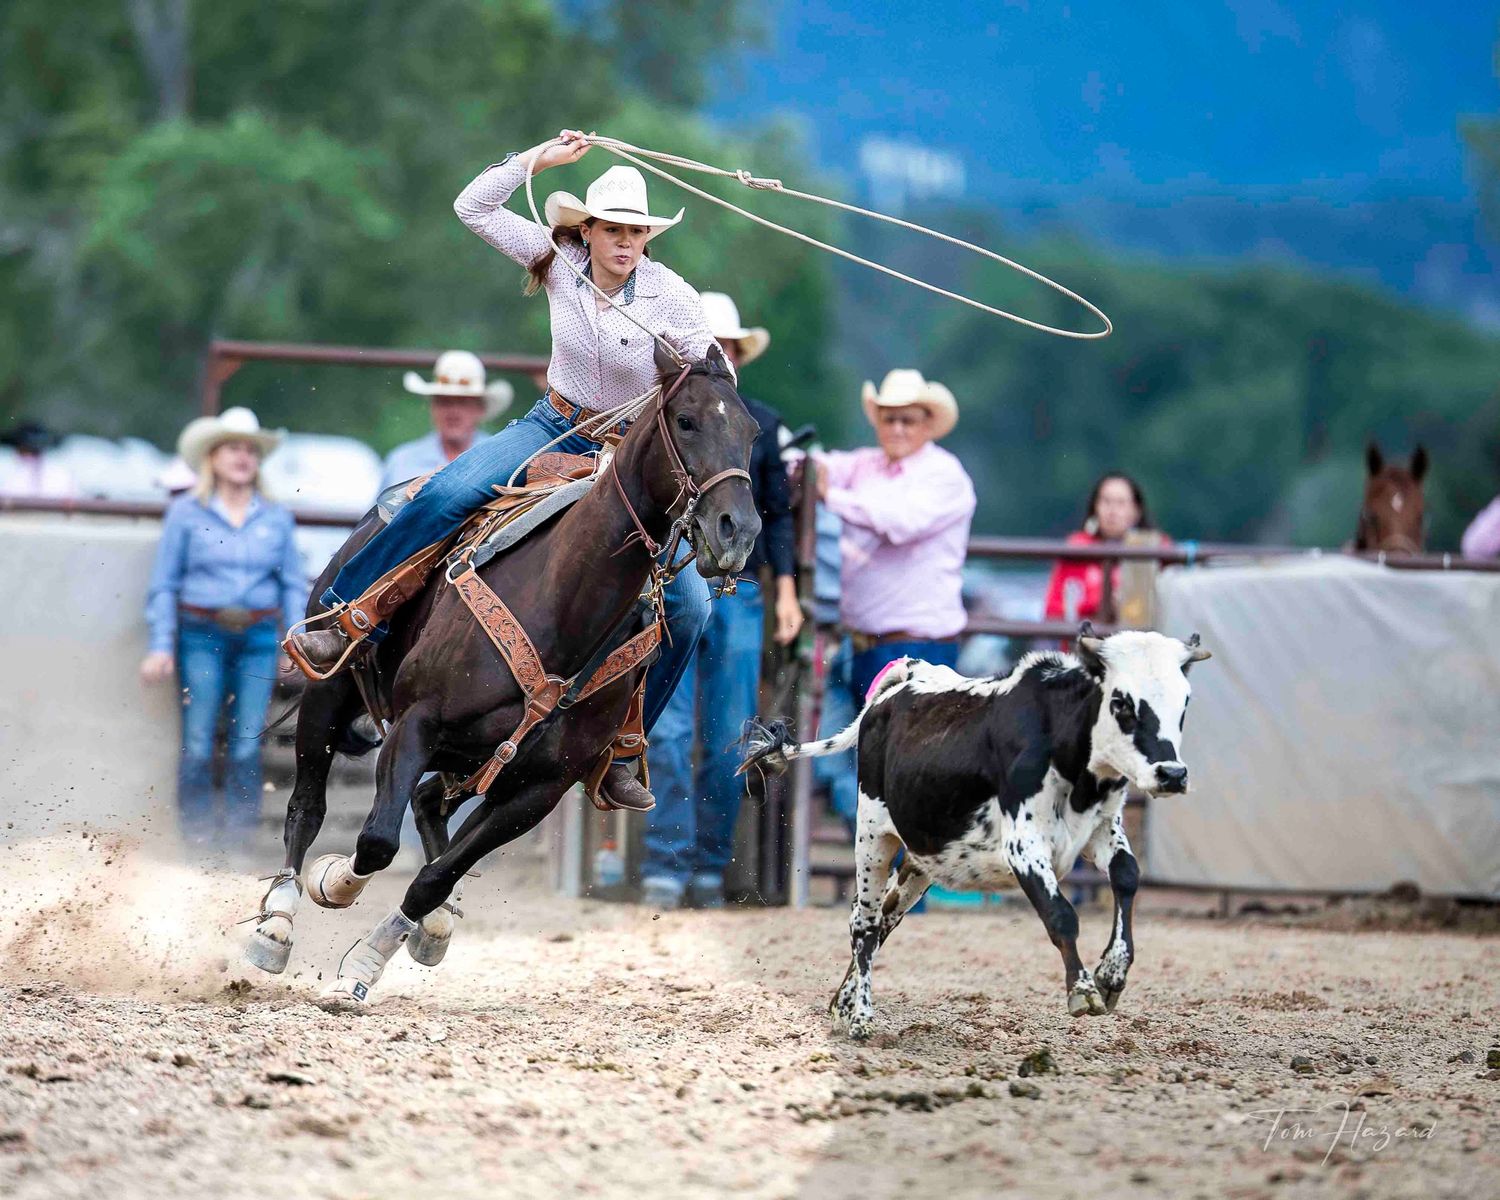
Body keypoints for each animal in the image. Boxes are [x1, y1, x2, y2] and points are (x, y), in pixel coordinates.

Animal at [740, 624, 1212, 1039]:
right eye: (1121, 702)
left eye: (1185, 702)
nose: (1172, 774)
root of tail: (901, 683)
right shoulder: (1023, 845)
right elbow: (1061, 914)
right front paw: (1082, 990)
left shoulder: (1102, 830)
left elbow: (1128, 877)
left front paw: (1112, 974)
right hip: (872, 835)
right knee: (866, 923)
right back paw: (860, 1018)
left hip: (921, 859)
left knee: (883, 916)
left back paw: (844, 1002)